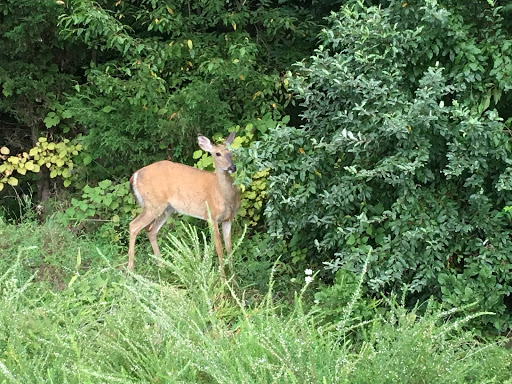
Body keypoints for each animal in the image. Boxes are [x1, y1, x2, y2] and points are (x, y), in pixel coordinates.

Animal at [127, 132, 241, 282]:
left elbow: (229, 248)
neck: (223, 195)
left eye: (230, 152)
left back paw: (162, 267)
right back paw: (130, 271)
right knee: (134, 225)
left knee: (150, 230)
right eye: (217, 153)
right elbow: (219, 249)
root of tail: (134, 176)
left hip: (166, 208)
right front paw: (223, 281)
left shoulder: (228, 219)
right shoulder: (211, 216)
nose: (232, 167)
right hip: (153, 204)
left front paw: (234, 280)